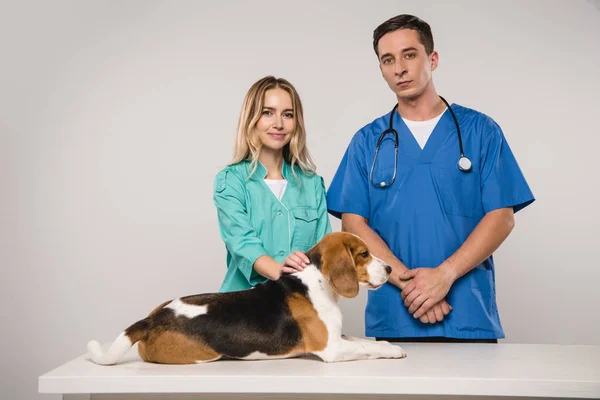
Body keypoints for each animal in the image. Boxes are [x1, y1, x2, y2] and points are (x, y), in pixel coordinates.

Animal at [86, 231, 406, 366]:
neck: (318, 284)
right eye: (363, 254)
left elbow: (365, 341)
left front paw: (389, 344)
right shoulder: (332, 349)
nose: (391, 269)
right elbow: (366, 348)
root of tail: (151, 319)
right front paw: (392, 350)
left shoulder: (338, 337)